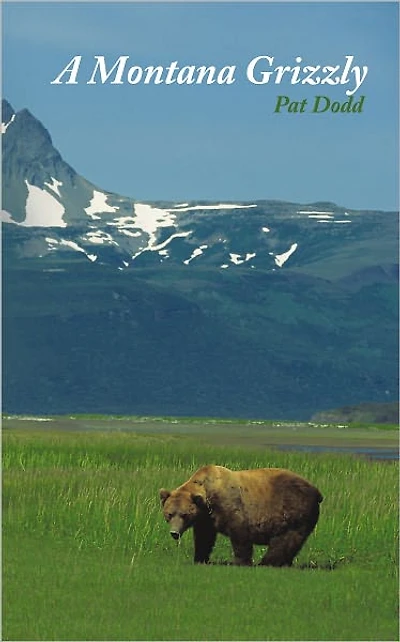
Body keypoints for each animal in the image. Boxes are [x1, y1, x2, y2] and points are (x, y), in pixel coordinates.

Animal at [160, 465, 323, 566]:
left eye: (184, 515)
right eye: (169, 514)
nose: (174, 533)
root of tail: (316, 491)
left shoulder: (230, 505)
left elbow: (240, 534)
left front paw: (241, 562)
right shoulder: (206, 518)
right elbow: (204, 538)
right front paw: (200, 558)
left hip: (293, 511)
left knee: (285, 539)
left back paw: (267, 562)